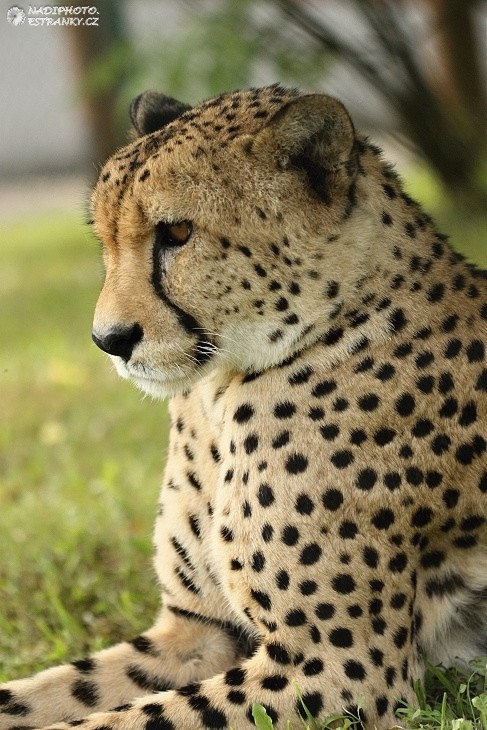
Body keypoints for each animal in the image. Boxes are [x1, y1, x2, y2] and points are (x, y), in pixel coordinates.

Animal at [2, 82, 487, 724]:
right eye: (104, 240)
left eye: (178, 234)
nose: (110, 340)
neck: (218, 391)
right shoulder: (196, 630)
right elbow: (50, 696)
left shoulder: (342, 668)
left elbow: (124, 719)